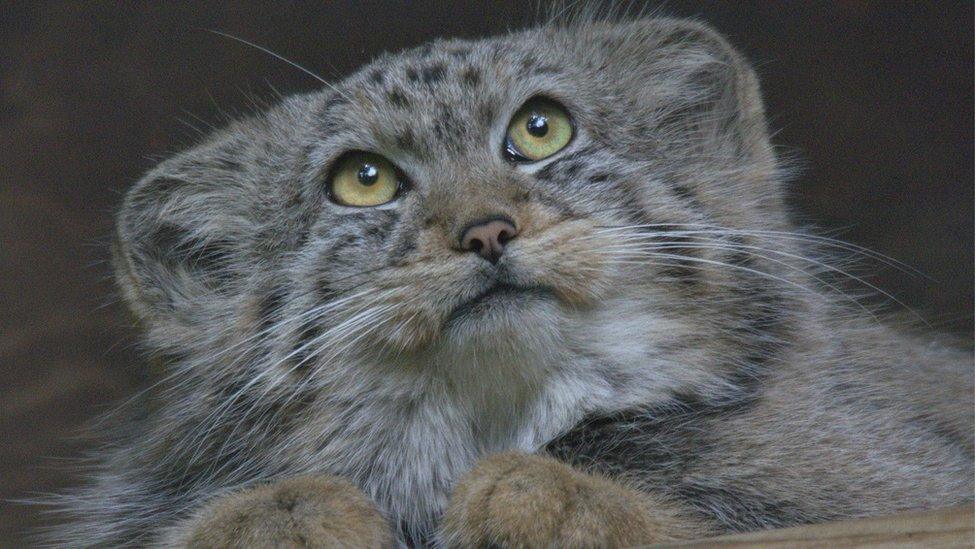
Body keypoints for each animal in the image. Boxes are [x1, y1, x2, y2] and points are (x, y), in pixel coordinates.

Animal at [51, 15, 968, 544]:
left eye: (541, 129)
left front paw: (558, 498)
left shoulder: (904, 486)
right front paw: (277, 514)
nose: (485, 230)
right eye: (363, 179)